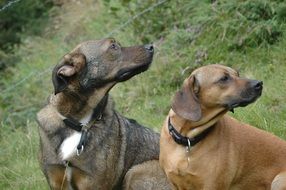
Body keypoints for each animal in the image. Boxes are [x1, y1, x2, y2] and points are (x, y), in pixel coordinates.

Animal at [36, 37, 170, 189]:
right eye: (113, 46)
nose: (151, 47)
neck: (79, 123)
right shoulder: (57, 180)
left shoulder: (93, 183)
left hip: (136, 172)